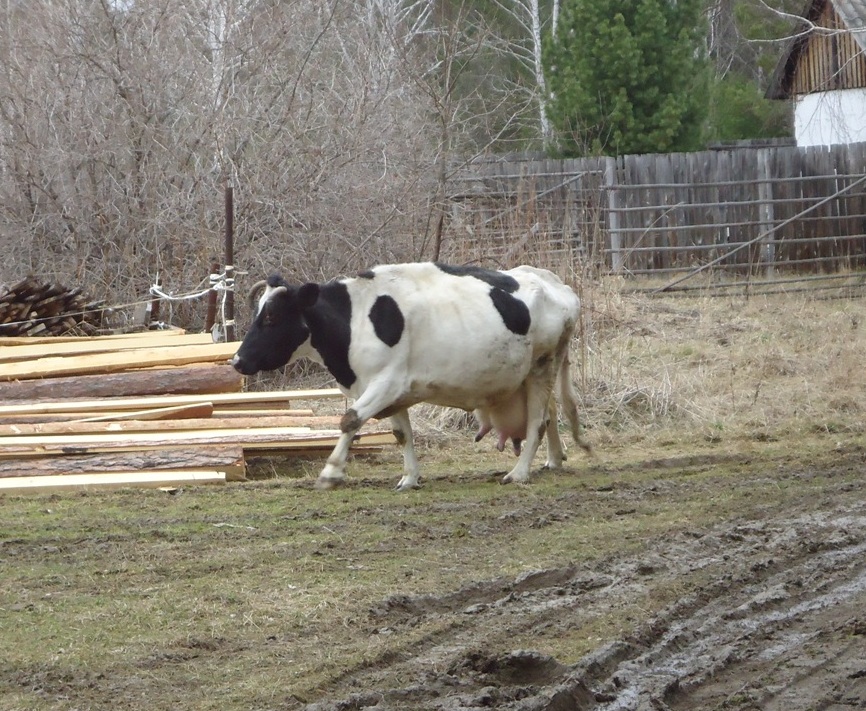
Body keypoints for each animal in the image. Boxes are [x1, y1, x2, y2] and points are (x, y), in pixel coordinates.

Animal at [230, 262, 592, 490]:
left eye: (272, 316)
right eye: (258, 312)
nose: (237, 360)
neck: (354, 320)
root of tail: (555, 283)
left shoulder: (386, 383)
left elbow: (349, 420)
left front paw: (331, 473)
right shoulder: (390, 390)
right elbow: (402, 435)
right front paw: (409, 478)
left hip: (542, 366)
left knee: (537, 421)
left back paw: (519, 473)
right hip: (534, 373)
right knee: (551, 412)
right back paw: (554, 460)